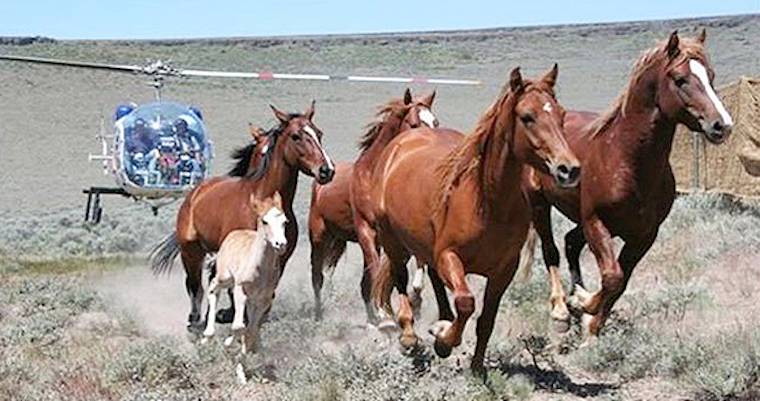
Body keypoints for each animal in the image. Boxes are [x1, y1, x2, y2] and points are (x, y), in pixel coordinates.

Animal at [150, 101, 336, 330]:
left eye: (319, 133)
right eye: (296, 136)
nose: (327, 170)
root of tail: (196, 193)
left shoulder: (279, 260)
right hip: (191, 251)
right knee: (195, 287)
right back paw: (195, 323)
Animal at [203, 192, 288, 355]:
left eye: (285, 222)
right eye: (264, 221)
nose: (281, 244)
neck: (260, 270)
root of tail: (234, 233)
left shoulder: (264, 299)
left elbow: (251, 329)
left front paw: (247, 352)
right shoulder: (240, 289)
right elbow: (239, 326)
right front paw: (228, 344)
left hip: (251, 299)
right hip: (225, 277)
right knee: (213, 287)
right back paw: (207, 335)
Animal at [308, 88, 439, 323]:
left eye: (436, 122)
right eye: (414, 124)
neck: (374, 176)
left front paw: (414, 302)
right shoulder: (366, 231)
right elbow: (378, 273)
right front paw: (390, 311)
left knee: (361, 284)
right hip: (319, 236)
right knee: (317, 277)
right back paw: (319, 315)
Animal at [370, 65, 580, 373]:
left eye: (562, 114)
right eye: (527, 117)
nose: (569, 169)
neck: (487, 202)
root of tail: (400, 144)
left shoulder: (504, 270)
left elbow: (486, 320)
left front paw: (477, 367)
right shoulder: (449, 257)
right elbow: (466, 302)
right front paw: (444, 341)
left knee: (432, 279)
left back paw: (440, 321)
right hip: (392, 240)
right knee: (400, 278)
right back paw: (409, 335)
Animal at [522, 30, 733, 342]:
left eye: (711, 76)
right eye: (680, 79)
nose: (722, 126)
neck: (626, 160)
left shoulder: (644, 234)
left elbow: (620, 281)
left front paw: (590, 325)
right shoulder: (595, 221)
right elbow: (612, 277)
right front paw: (583, 304)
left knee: (571, 243)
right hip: (539, 204)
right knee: (551, 251)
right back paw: (561, 311)